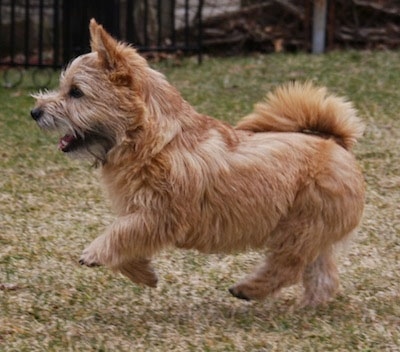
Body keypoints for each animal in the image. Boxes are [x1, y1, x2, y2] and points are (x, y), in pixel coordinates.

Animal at [30, 19, 366, 306]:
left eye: (76, 92)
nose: (35, 112)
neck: (156, 141)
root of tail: (338, 143)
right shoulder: (144, 212)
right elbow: (127, 240)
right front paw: (143, 273)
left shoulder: (161, 214)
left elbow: (122, 232)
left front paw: (97, 253)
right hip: (313, 233)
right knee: (322, 274)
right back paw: (307, 306)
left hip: (299, 229)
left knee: (288, 266)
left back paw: (250, 289)